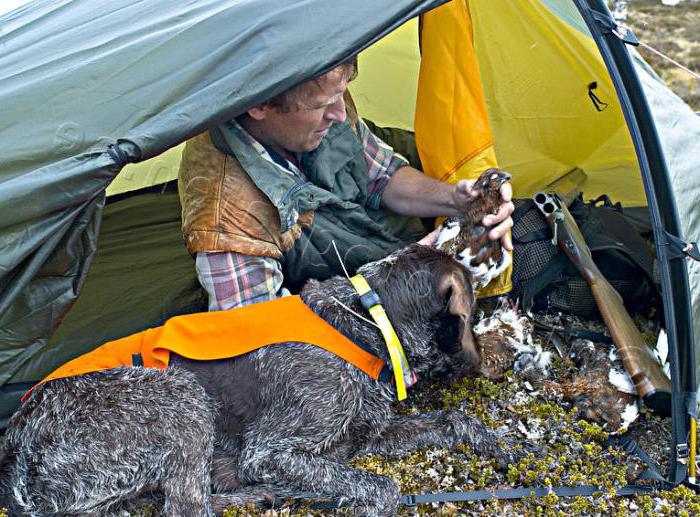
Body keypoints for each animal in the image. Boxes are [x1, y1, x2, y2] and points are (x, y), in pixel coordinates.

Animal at [0, 243, 520, 516]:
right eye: (474, 313)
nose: (510, 354)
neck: (366, 322)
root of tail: (18, 438)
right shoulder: (272, 451)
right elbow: (383, 487)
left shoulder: (366, 434)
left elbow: (454, 420)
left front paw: (507, 447)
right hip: (181, 396)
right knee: (188, 507)